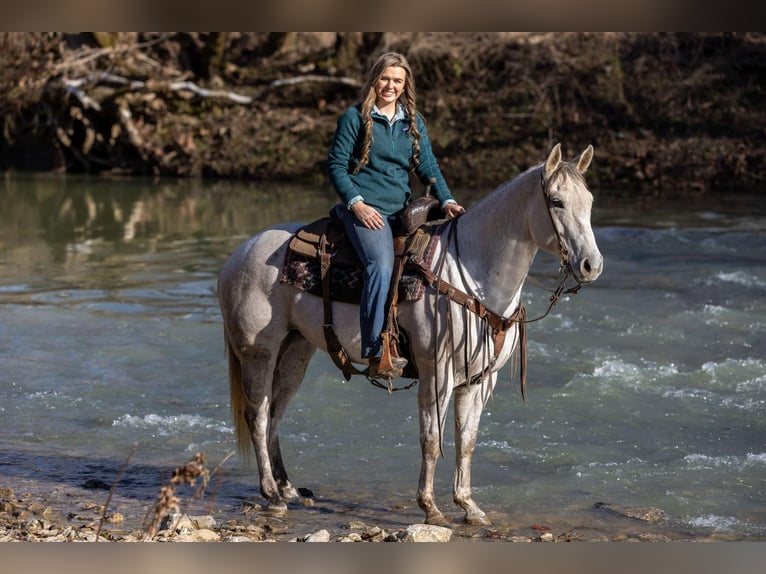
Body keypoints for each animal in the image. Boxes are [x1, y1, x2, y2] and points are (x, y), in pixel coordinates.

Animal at [216, 143, 603, 526]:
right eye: (557, 201)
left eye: (589, 200)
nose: (592, 266)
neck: (472, 272)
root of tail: (240, 253)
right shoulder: (437, 372)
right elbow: (431, 439)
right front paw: (430, 508)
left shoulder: (479, 379)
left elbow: (467, 440)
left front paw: (469, 506)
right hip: (258, 352)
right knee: (258, 415)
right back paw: (271, 494)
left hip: (296, 350)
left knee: (276, 414)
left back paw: (288, 489)